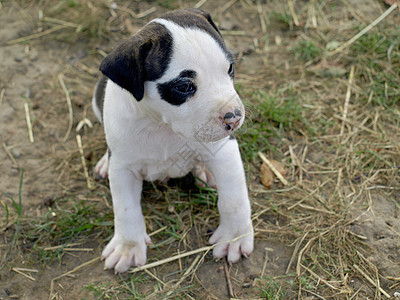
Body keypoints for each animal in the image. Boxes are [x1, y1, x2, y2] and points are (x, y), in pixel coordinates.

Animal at [92, 8, 253, 274]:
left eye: (230, 68)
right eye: (184, 86)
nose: (234, 117)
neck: (163, 125)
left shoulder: (224, 151)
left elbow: (233, 199)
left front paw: (235, 237)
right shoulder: (124, 168)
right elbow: (125, 209)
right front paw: (127, 245)